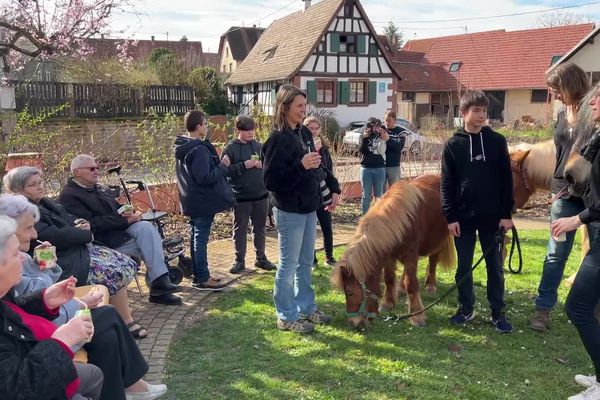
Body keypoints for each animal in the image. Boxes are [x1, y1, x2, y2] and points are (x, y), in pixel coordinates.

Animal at [328, 174, 454, 328]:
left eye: (350, 292)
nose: (355, 322)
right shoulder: (389, 256)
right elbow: (388, 279)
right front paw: (388, 304)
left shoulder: (411, 254)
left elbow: (411, 283)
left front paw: (417, 315)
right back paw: (400, 289)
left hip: (437, 241)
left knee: (433, 260)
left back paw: (430, 286)